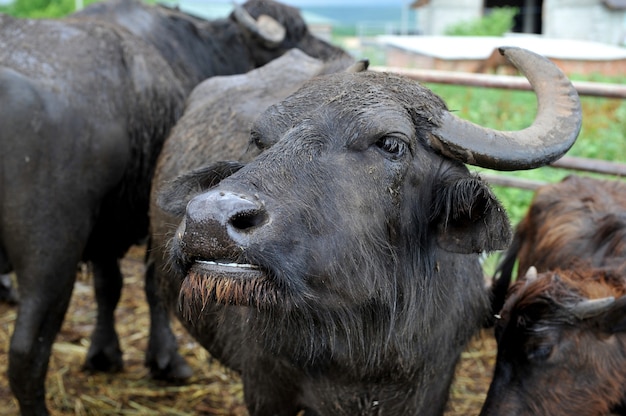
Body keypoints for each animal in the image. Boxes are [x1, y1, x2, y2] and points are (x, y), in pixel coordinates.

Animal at [0, 1, 348, 414]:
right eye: (298, 35)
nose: (339, 56)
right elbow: (154, 284)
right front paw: (166, 360)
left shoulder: (109, 224)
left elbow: (108, 285)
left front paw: (104, 354)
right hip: (51, 253)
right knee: (26, 352)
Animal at [156, 47, 580, 414]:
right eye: (260, 141)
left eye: (391, 143)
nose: (208, 219)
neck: (366, 341)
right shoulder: (265, 388)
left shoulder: (431, 387)